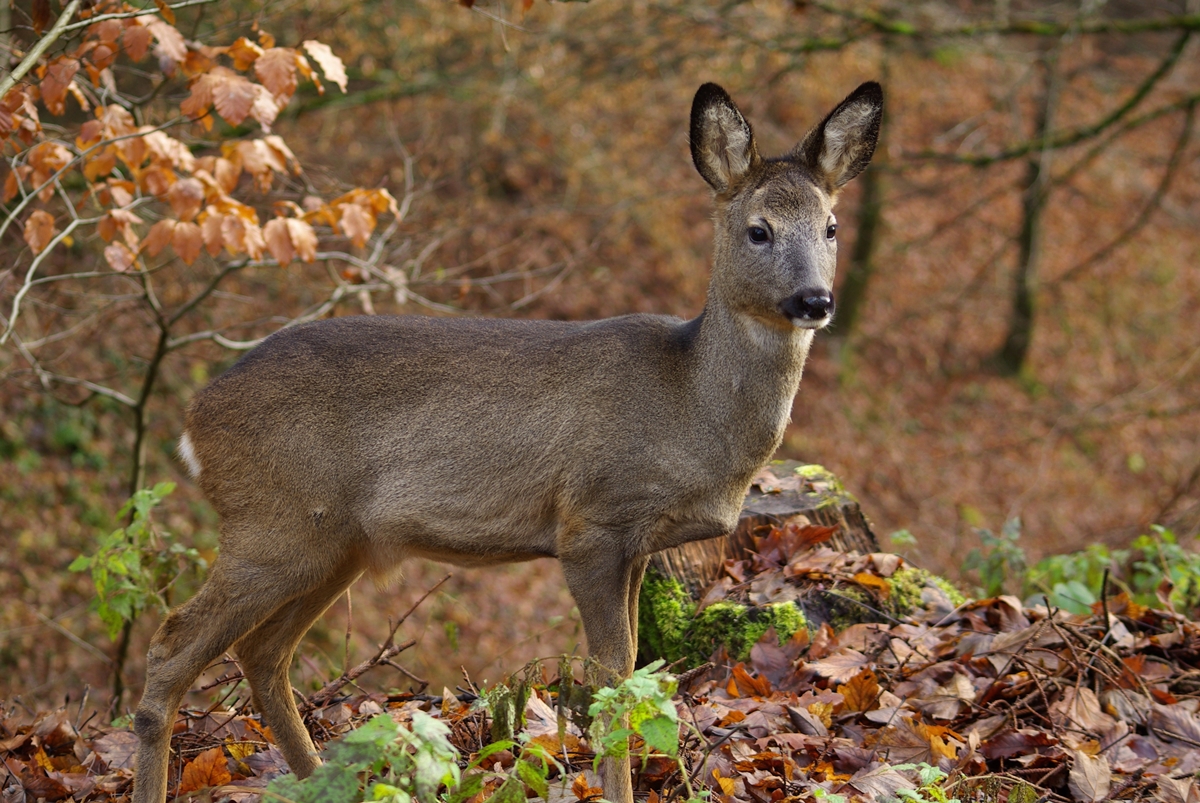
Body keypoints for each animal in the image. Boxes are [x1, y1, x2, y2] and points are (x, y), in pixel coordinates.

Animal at [131, 79, 883, 801]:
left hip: (336, 543)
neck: (688, 406)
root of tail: (195, 414)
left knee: (262, 653)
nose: (815, 300)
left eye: (831, 225)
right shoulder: (591, 523)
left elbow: (638, 673)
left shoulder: (641, 544)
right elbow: (611, 683)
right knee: (170, 646)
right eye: (758, 230)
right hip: (274, 521)